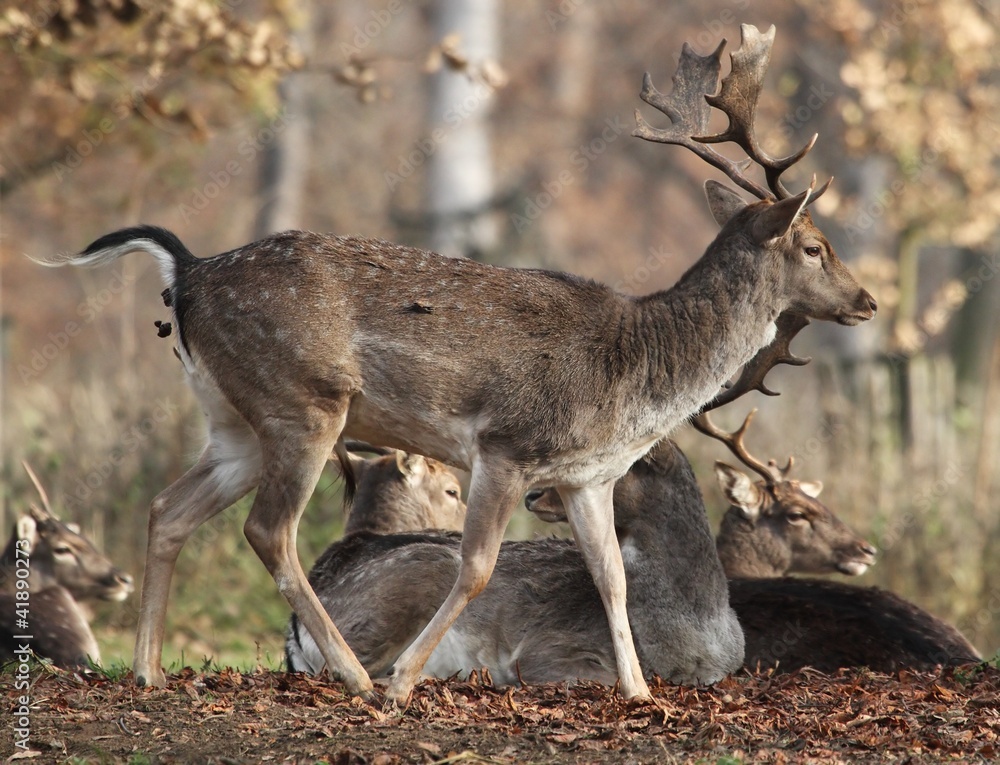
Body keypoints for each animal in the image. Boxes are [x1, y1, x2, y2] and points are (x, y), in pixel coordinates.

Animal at [35, 24, 876, 702]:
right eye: (814, 245)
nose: (866, 300)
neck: (636, 380)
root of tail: (186, 272)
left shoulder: (586, 476)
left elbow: (610, 576)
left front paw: (639, 689)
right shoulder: (506, 444)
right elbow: (475, 565)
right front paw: (405, 678)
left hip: (232, 419)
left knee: (168, 508)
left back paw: (146, 670)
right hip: (302, 399)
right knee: (269, 531)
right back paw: (356, 676)